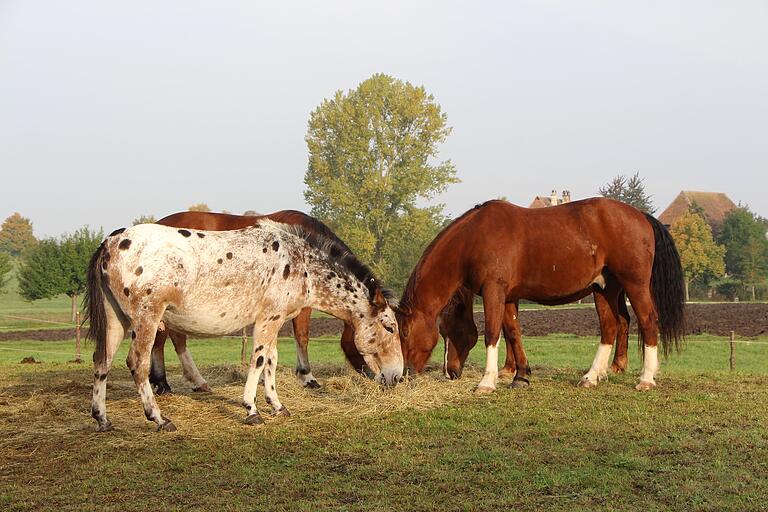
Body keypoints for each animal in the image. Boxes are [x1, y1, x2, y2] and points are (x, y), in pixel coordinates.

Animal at [396, 199, 684, 392]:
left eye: (405, 333)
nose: (403, 374)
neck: (474, 238)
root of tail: (641, 216)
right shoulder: (508, 297)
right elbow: (513, 332)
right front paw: (520, 375)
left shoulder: (494, 291)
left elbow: (492, 333)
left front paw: (487, 382)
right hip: (604, 289)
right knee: (611, 327)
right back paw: (592, 376)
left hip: (635, 285)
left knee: (647, 322)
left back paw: (646, 378)